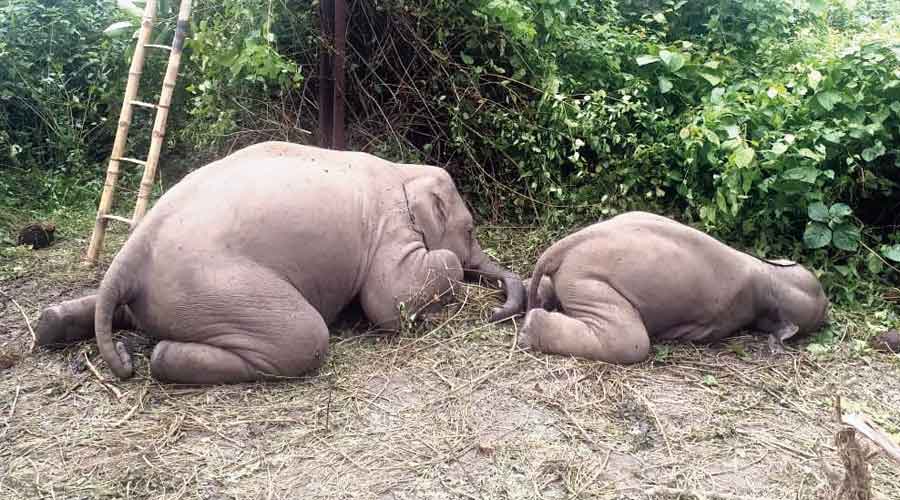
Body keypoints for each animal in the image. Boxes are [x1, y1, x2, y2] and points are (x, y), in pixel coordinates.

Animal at [37, 143, 528, 384]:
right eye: (470, 231)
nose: (495, 309)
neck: (404, 169)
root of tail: (132, 252)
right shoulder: (391, 224)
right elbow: (388, 301)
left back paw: (51, 323)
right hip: (216, 285)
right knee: (305, 337)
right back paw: (156, 357)